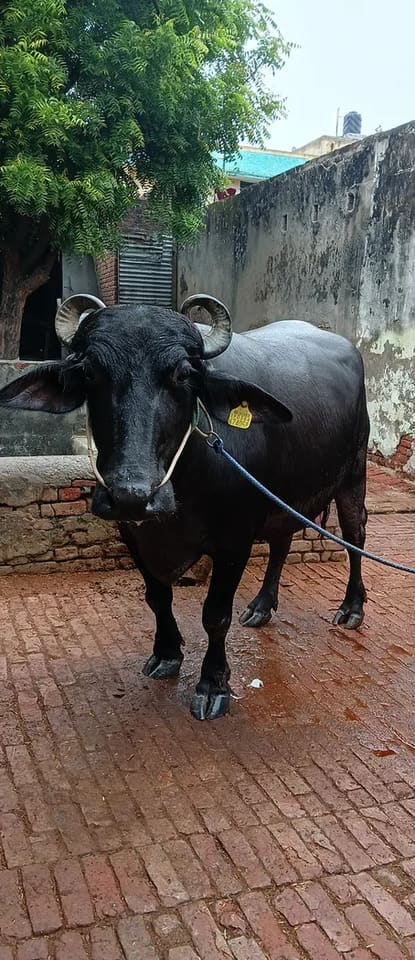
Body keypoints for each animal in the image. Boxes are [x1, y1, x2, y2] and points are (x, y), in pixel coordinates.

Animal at [0, 295, 369, 720]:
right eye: (91, 372)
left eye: (182, 374)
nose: (131, 492)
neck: (187, 481)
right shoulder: (131, 531)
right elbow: (158, 598)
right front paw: (166, 653)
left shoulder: (234, 541)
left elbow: (216, 615)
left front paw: (213, 684)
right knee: (282, 542)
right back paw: (261, 607)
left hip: (354, 474)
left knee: (355, 535)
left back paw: (351, 608)